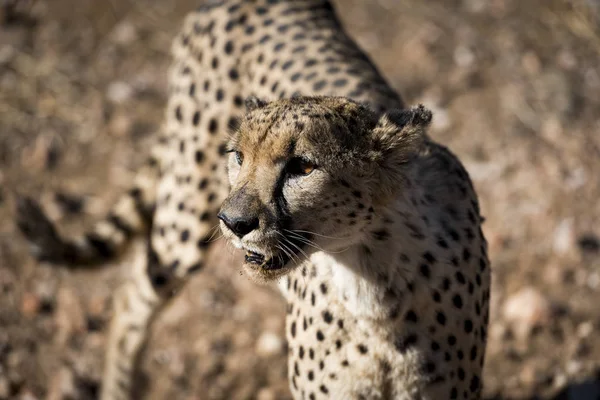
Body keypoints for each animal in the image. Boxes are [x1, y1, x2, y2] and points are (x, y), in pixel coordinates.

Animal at [16, 0, 490, 400]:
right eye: (238, 156)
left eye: (302, 167)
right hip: (184, 210)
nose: (232, 221)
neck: (371, 275)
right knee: (134, 295)